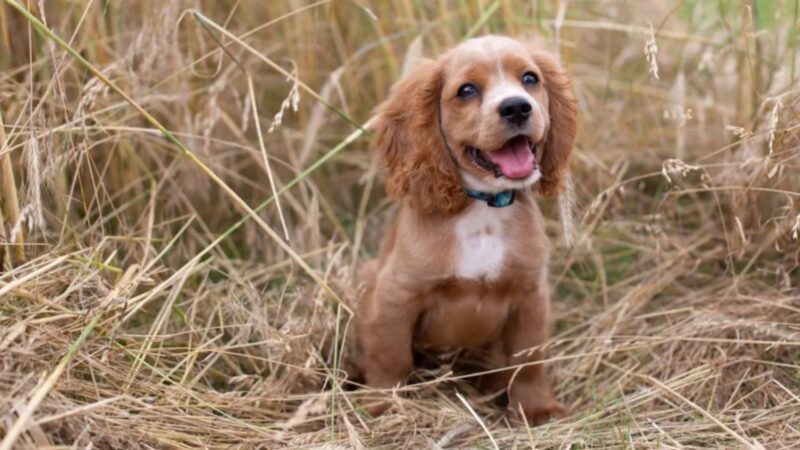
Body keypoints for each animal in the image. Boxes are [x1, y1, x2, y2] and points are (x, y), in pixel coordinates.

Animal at [344, 35, 576, 426]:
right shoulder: (396, 294)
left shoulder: (531, 294)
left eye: (530, 79)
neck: (483, 210)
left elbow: (528, 360)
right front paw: (382, 405)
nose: (517, 107)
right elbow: (391, 357)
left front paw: (536, 408)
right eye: (466, 90)